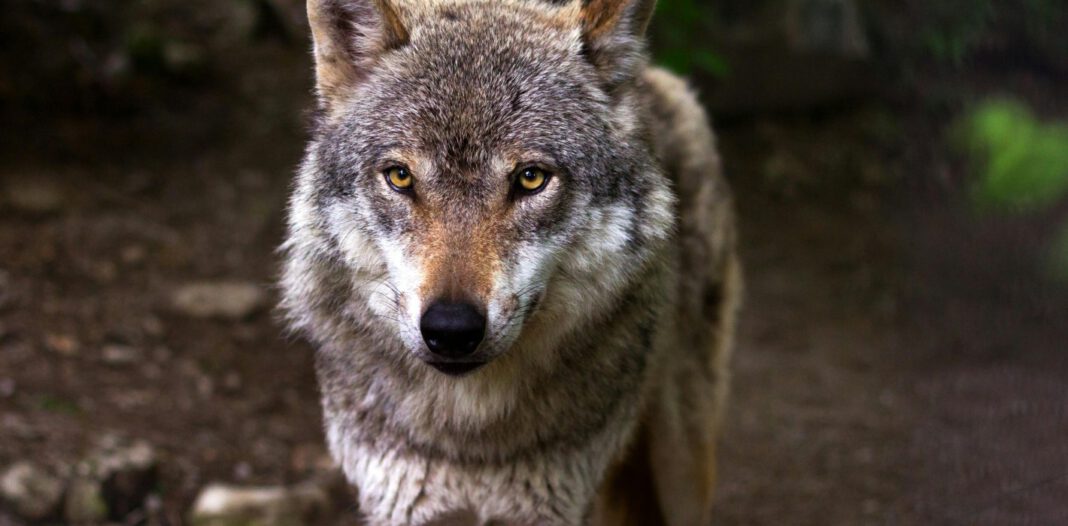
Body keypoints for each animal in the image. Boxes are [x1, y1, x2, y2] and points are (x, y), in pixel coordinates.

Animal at [279, 0, 741, 524]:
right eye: (399, 177)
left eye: (531, 178)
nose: (451, 329)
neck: (471, 439)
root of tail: (654, 77)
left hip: (682, 463)